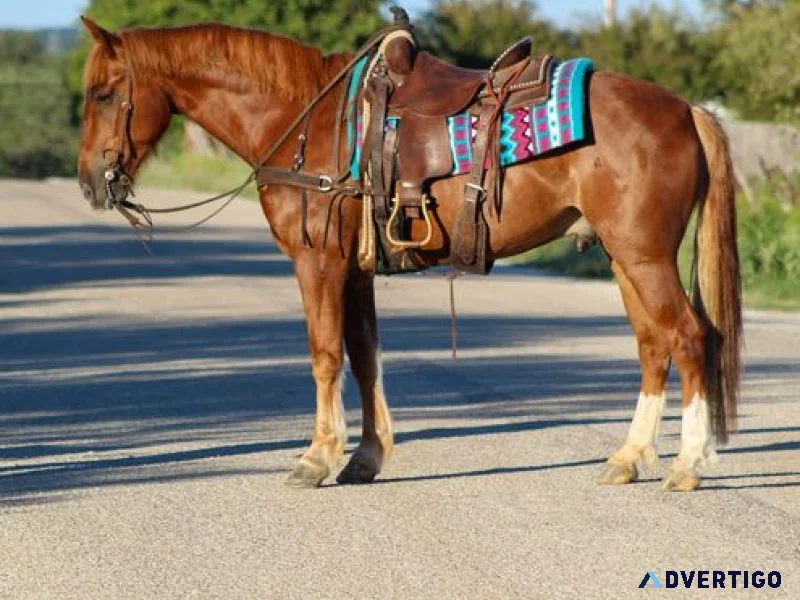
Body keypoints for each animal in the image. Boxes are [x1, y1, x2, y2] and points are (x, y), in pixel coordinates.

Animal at [76, 17, 741, 492]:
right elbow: (364, 355)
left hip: (644, 257)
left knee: (689, 337)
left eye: (105, 94)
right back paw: (628, 458)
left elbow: (325, 355)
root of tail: (687, 110)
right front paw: (365, 458)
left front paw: (316, 459)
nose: (89, 184)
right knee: (653, 344)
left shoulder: (318, 263)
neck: (307, 120)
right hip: (622, 257)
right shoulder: (356, 271)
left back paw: (686, 465)